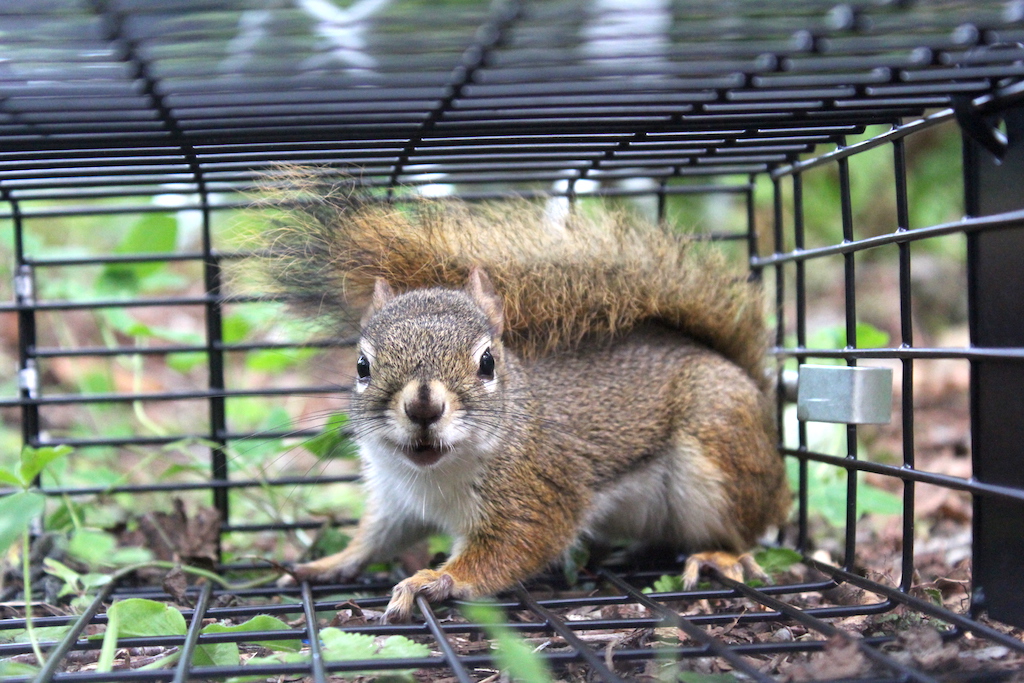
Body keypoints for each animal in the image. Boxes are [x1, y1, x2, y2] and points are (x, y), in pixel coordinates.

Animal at [257, 167, 791, 622]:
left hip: (720, 449)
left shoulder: (538, 491)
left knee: (748, 530)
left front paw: (434, 579)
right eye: (362, 366)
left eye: (488, 362)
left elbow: (515, 546)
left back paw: (719, 554)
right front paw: (328, 562)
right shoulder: (395, 498)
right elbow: (376, 539)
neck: (435, 477)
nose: (424, 406)